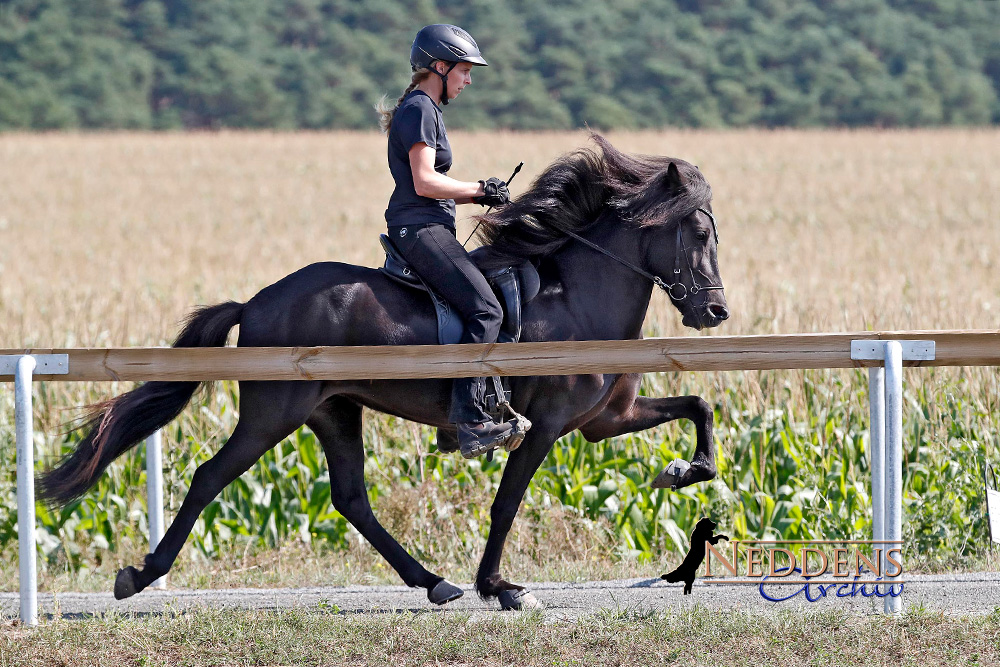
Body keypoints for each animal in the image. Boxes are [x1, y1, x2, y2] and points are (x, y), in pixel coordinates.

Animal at [39, 136, 728, 612]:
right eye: (697, 232)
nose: (715, 311)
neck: (578, 296)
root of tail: (257, 301)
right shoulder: (547, 426)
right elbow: (507, 502)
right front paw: (500, 586)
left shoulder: (604, 421)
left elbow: (699, 406)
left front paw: (683, 470)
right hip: (273, 412)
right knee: (212, 476)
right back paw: (139, 575)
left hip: (333, 410)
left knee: (350, 498)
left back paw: (434, 582)